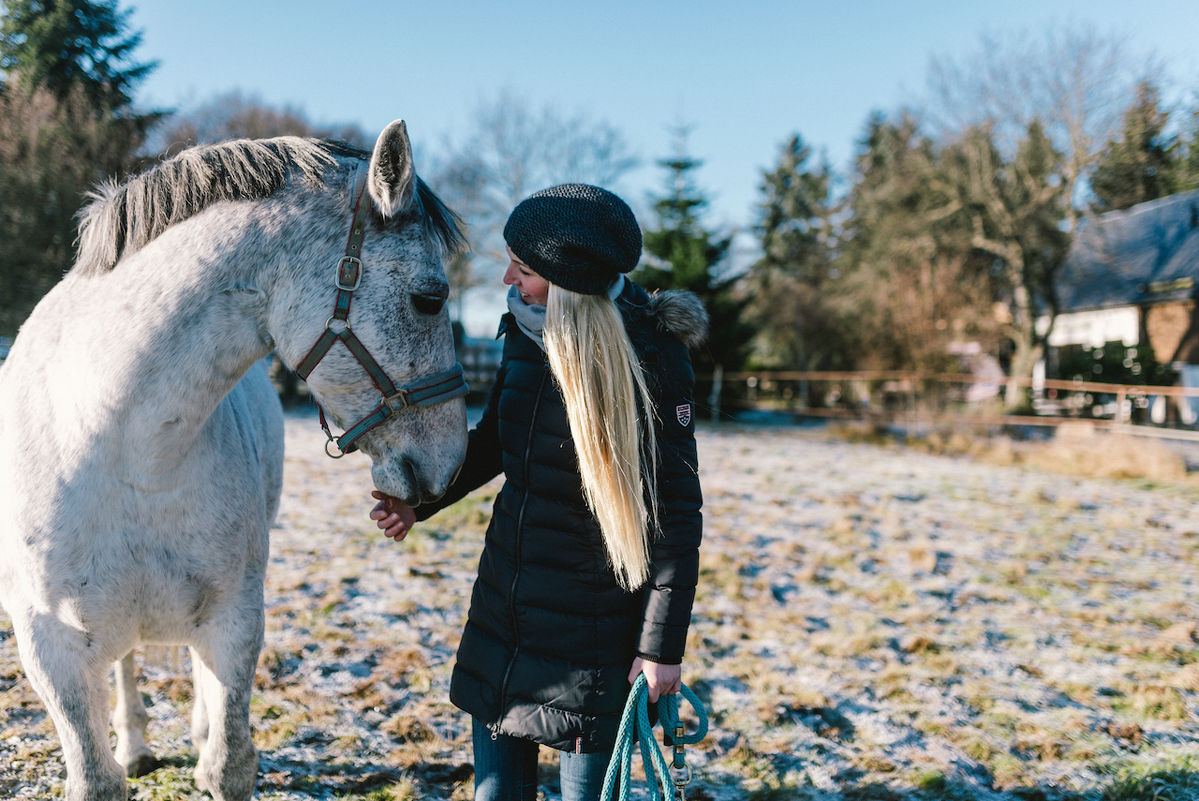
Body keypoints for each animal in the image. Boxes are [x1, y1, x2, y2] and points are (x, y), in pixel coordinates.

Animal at [0, 120, 467, 801]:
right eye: (430, 299)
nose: (451, 462)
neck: (121, 448)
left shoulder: (235, 618)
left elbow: (230, 763)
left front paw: (205, 750)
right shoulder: (48, 645)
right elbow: (95, 776)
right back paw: (136, 745)